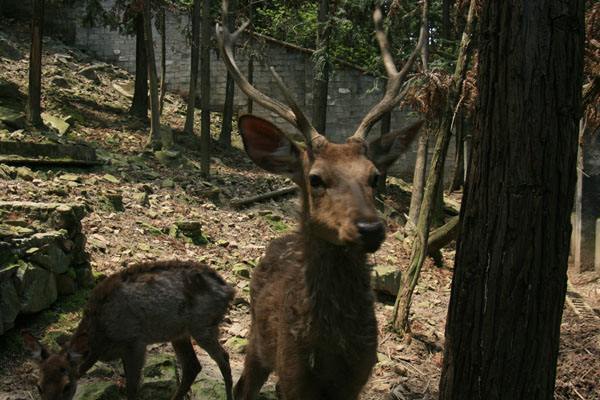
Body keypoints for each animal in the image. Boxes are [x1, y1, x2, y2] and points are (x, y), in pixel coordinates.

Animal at [21, 260, 233, 400]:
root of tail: (229, 291)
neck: (102, 340)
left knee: (223, 358)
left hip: (203, 325)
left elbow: (132, 388)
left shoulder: (135, 342)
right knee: (192, 365)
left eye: (66, 386)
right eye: (38, 386)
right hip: (179, 333)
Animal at [216, 1, 426, 398]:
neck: (330, 354)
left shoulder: (358, 377)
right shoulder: (292, 375)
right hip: (259, 339)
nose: (370, 228)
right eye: (315, 179)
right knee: (242, 385)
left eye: (374, 177)